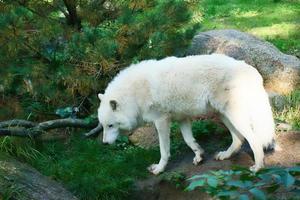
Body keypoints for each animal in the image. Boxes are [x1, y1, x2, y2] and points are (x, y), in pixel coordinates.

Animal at [98, 54, 274, 174]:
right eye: (104, 126)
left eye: (111, 125)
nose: (104, 143)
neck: (133, 94)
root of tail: (250, 70)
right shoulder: (182, 118)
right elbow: (189, 141)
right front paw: (199, 156)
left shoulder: (161, 121)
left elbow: (164, 150)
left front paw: (159, 169)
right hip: (224, 115)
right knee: (238, 139)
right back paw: (225, 155)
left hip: (234, 116)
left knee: (254, 140)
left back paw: (258, 167)